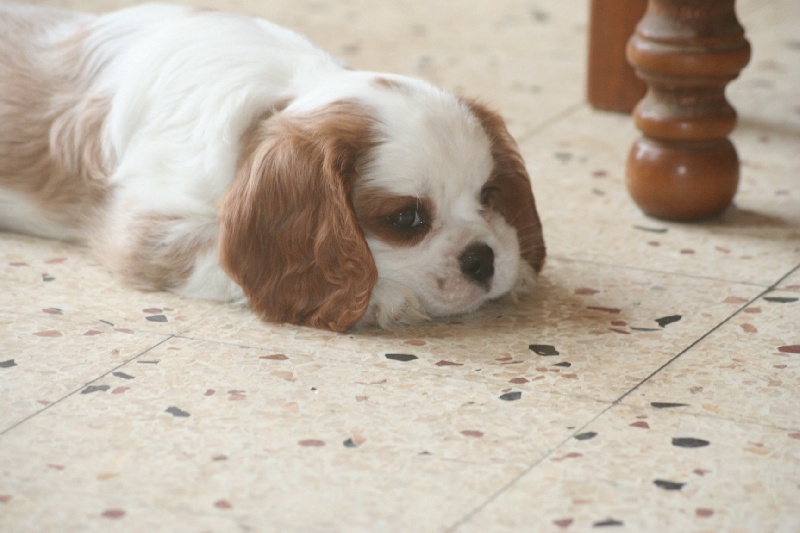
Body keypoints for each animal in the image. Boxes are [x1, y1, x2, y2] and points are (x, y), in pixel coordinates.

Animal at [0, 2, 544, 330]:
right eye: (407, 219)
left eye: (487, 195)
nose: (483, 259)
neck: (279, 95)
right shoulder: (147, 226)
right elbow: (220, 254)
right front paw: (379, 297)